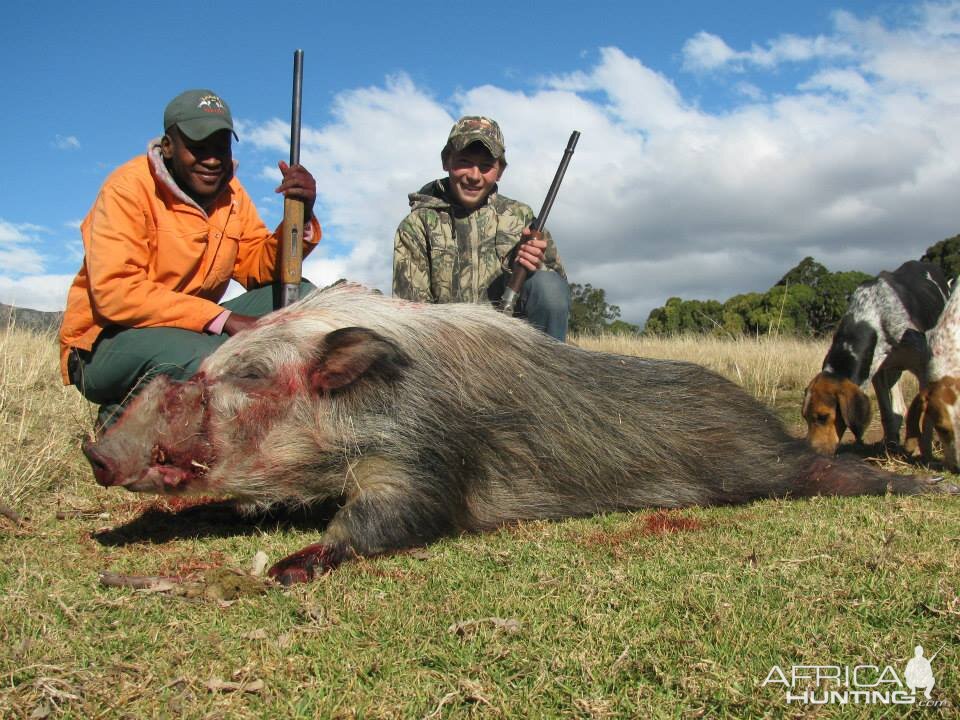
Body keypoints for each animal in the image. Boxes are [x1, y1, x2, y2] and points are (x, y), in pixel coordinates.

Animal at [804, 260, 952, 456]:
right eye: (804, 417)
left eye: (823, 417)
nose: (811, 454)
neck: (872, 316)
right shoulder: (877, 372)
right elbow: (888, 414)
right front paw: (891, 445)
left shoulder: (923, 369)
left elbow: (924, 416)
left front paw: (923, 451)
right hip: (894, 370)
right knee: (898, 408)